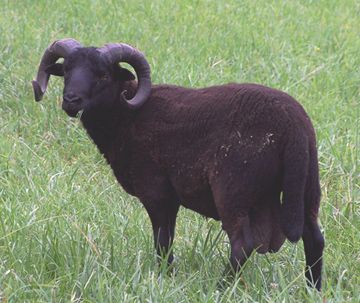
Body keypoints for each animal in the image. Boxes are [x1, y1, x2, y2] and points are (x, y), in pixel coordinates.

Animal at [33, 39, 324, 290]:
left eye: (103, 74)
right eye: (66, 71)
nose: (71, 101)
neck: (127, 116)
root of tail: (293, 125)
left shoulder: (157, 194)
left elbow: (162, 242)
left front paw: (165, 278)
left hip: (233, 191)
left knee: (243, 243)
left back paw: (221, 288)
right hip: (306, 187)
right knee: (314, 238)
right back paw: (313, 288)